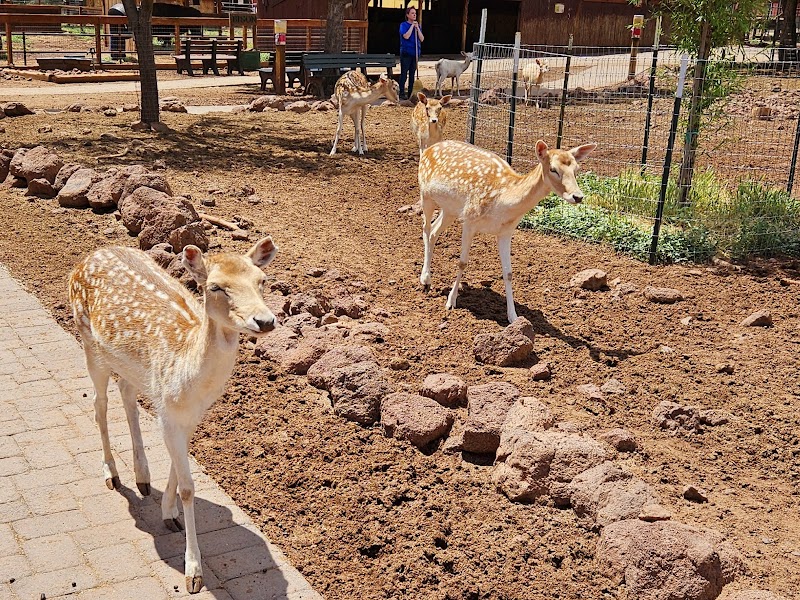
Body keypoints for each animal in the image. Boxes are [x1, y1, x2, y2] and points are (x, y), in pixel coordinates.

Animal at [68, 238, 278, 594]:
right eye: (216, 286)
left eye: (261, 280)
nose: (265, 321)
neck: (190, 382)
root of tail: (86, 259)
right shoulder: (168, 410)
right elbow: (188, 487)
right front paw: (193, 572)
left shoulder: (189, 413)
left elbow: (180, 474)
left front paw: (168, 514)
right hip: (89, 342)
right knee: (99, 403)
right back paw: (112, 473)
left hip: (129, 367)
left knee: (125, 391)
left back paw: (142, 478)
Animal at [418, 140, 596, 324]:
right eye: (553, 169)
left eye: (576, 169)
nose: (578, 196)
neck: (502, 201)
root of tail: (430, 147)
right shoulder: (469, 220)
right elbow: (462, 263)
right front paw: (451, 302)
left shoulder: (506, 231)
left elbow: (508, 273)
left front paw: (513, 316)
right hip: (426, 195)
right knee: (426, 228)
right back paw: (425, 280)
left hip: (450, 210)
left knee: (434, 231)